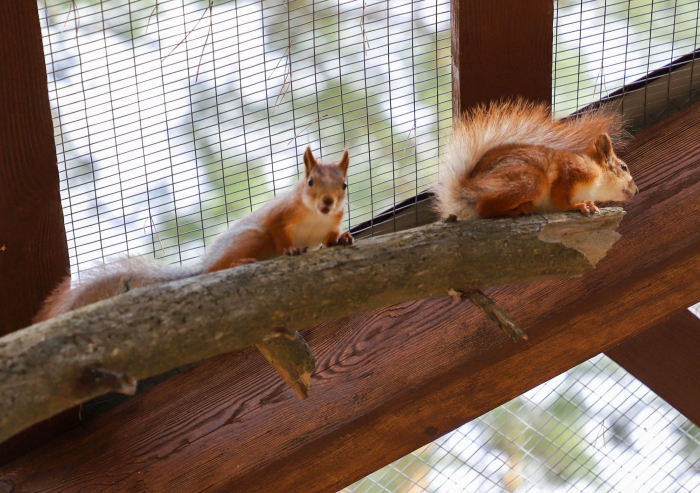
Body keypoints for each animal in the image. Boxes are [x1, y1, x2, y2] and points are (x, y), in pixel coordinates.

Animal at [33, 146, 352, 322]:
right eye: (310, 182)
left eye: (344, 185)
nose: (327, 202)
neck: (316, 215)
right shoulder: (281, 213)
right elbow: (278, 229)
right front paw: (291, 250)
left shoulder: (332, 221)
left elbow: (329, 236)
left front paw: (342, 239)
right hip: (253, 238)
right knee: (215, 270)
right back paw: (237, 264)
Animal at [434, 98, 644, 219]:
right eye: (623, 167)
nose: (636, 190)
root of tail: (464, 190)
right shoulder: (570, 172)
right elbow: (561, 199)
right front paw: (578, 206)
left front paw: (589, 203)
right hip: (530, 180)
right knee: (484, 209)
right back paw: (519, 209)